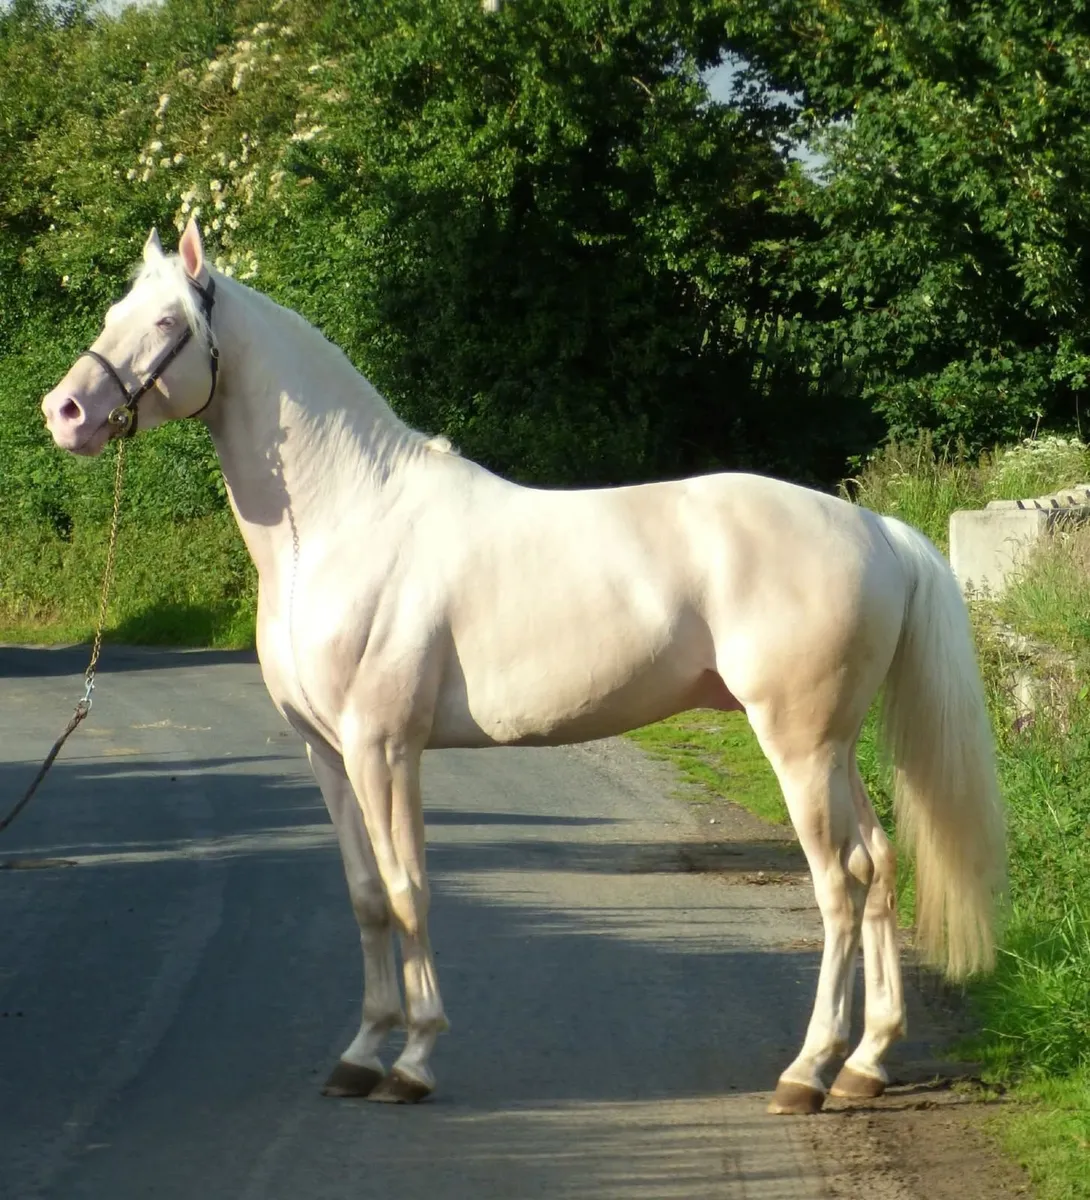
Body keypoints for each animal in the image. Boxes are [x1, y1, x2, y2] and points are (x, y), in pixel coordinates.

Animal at [41, 219, 1005, 1114]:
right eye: (112, 311)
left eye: (167, 320)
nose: (65, 413)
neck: (348, 521)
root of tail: (877, 528)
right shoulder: (325, 753)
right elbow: (364, 896)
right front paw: (360, 1054)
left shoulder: (383, 747)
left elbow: (408, 891)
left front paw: (414, 1062)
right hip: (834, 748)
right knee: (878, 870)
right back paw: (866, 1066)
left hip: (797, 747)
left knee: (837, 886)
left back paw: (807, 1073)